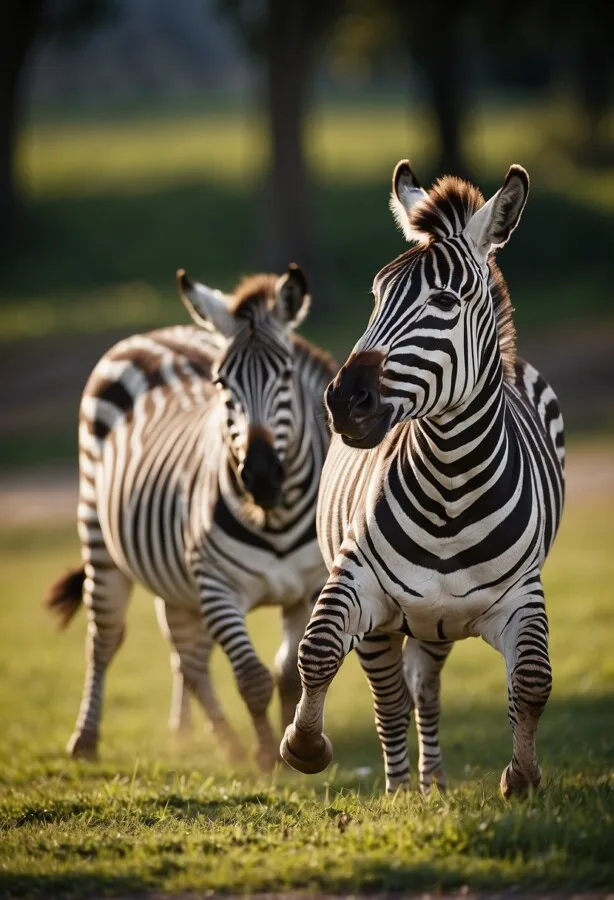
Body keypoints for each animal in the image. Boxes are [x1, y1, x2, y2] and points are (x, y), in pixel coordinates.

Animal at [45, 264, 337, 769]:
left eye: (285, 375)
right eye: (222, 384)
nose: (260, 475)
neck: (276, 519)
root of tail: (160, 333)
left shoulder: (307, 589)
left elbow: (288, 672)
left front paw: (290, 744)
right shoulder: (218, 587)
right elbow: (253, 677)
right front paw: (267, 756)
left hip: (176, 581)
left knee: (188, 657)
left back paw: (218, 741)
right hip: (99, 537)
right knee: (105, 640)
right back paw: (86, 739)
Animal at [280, 161, 565, 797]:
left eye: (443, 300)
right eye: (377, 296)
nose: (345, 402)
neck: (450, 489)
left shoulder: (522, 596)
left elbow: (533, 680)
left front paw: (523, 776)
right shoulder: (359, 581)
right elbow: (318, 649)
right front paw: (305, 747)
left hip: (435, 626)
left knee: (425, 689)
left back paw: (432, 783)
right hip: (394, 624)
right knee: (392, 697)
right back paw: (401, 788)